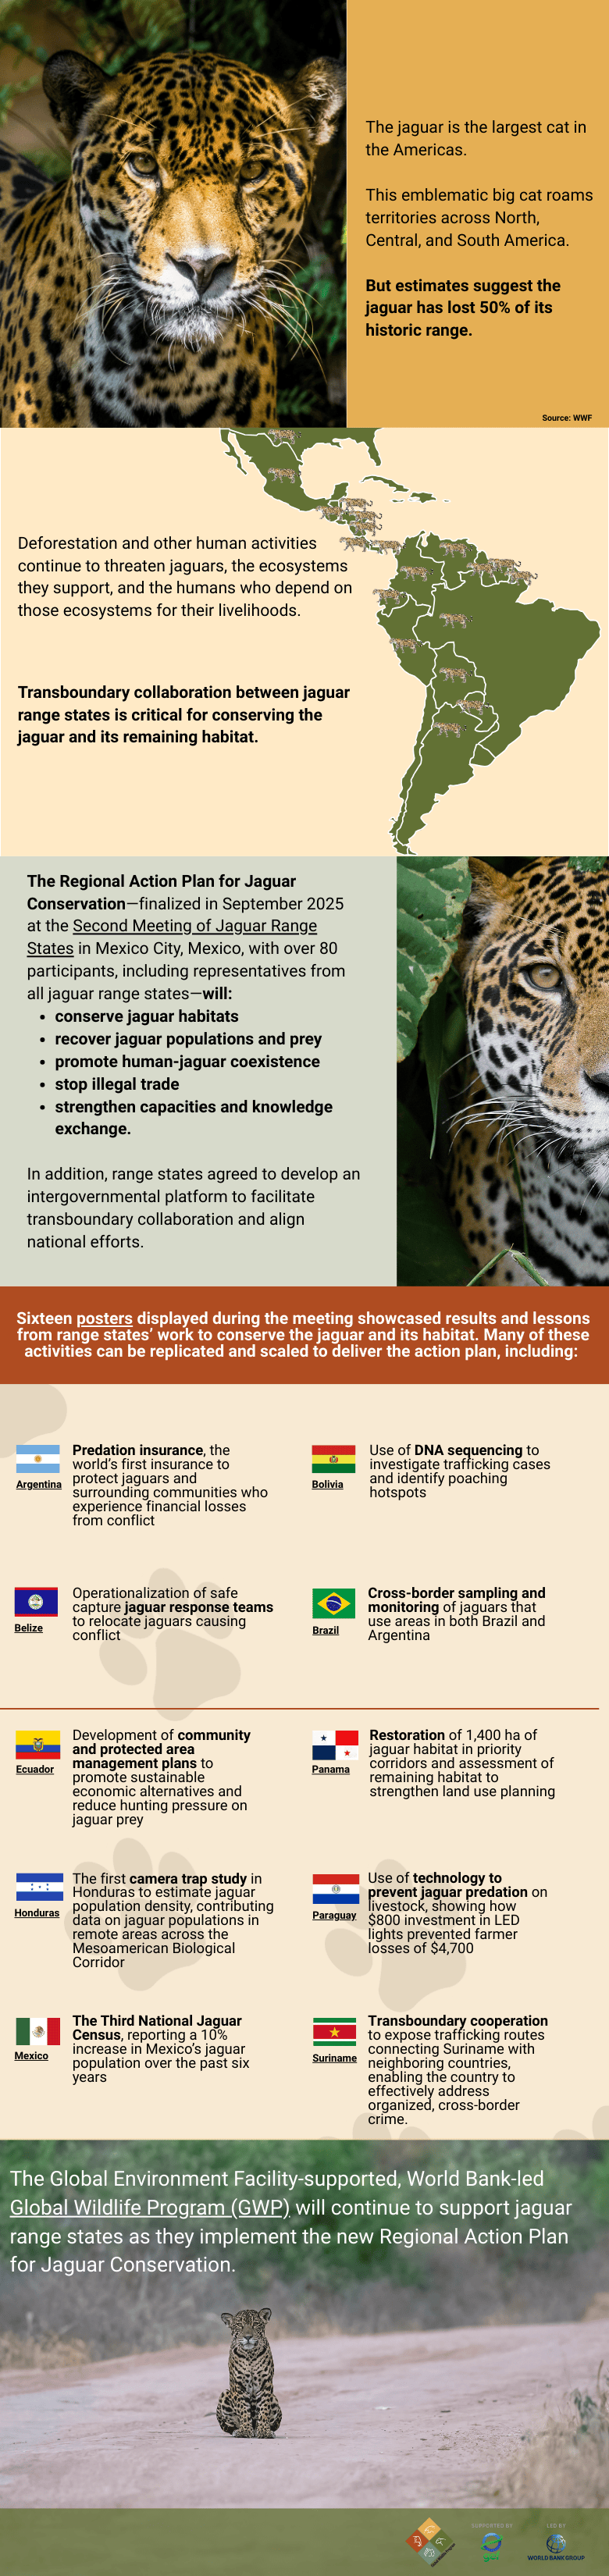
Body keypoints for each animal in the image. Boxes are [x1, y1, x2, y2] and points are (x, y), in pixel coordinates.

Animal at [216, 2307, 281, 2438]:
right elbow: (243, 2409)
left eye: (255, 2324)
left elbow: (264, 2409)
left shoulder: (266, 2384)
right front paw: (245, 2430)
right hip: (224, 2394)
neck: (250, 2354)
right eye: (239, 2325)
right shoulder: (238, 2385)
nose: (248, 2337)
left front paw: (264, 2431)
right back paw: (239, 2431)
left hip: (274, 2399)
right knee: (230, 2427)